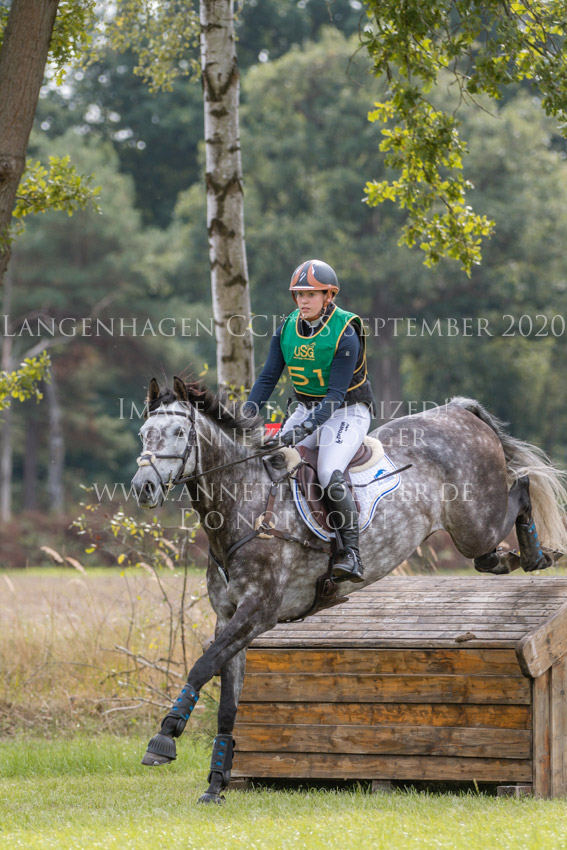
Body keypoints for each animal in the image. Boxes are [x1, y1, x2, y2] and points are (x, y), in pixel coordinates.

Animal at [131, 375, 567, 803]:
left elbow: (202, 666)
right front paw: (216, 784)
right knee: (494, 551)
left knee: (523, 485)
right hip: (476, 536)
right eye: (144, 434)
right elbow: (226, 701)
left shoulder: (258, 612)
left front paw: (164, 738)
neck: (244, 504)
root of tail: (459, 410)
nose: (143, 487)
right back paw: (524, 556)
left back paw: (539, 553)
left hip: (475, 524)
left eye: (179, 432)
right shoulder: (229, 617)